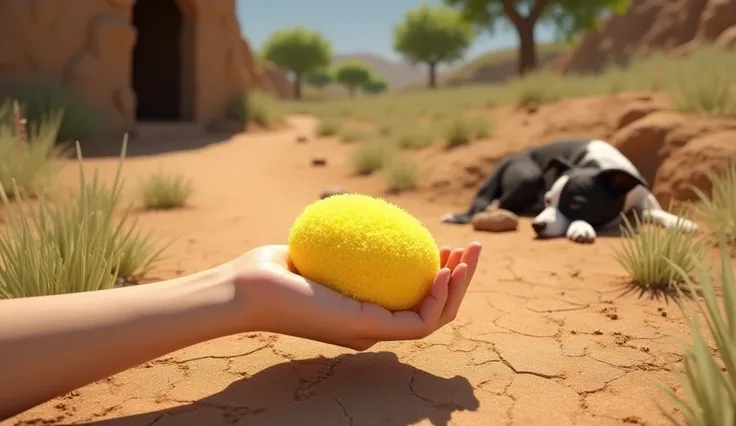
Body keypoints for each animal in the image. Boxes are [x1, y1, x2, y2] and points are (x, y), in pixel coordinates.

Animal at [440, 137, 700, 243]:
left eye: (575, 203)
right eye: (549, 200)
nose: (537, 225)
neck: (598, 166)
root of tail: (511, 157)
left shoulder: (642, 199)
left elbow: (658, 212)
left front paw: (682, 222)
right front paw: (581, 228)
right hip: (528, 177)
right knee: (497, 203)